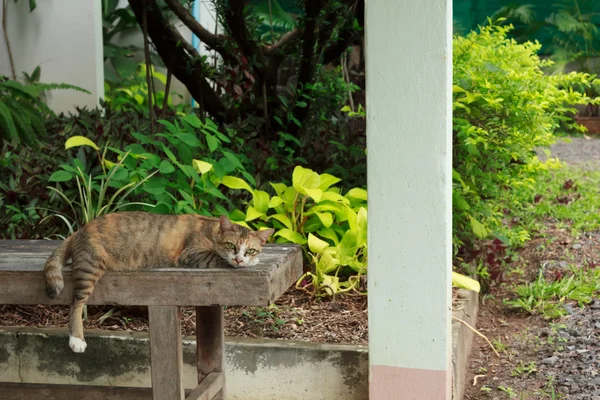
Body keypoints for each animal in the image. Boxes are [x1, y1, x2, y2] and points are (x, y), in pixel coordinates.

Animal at [42, 211, 274, 352]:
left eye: (250, 249)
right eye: (231, 246)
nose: (240, 258)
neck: (212, 229)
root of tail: (80, 230)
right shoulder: (192, 255)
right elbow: (217, 258)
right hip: (90, 267)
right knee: (76, 302)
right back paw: (77, 339)